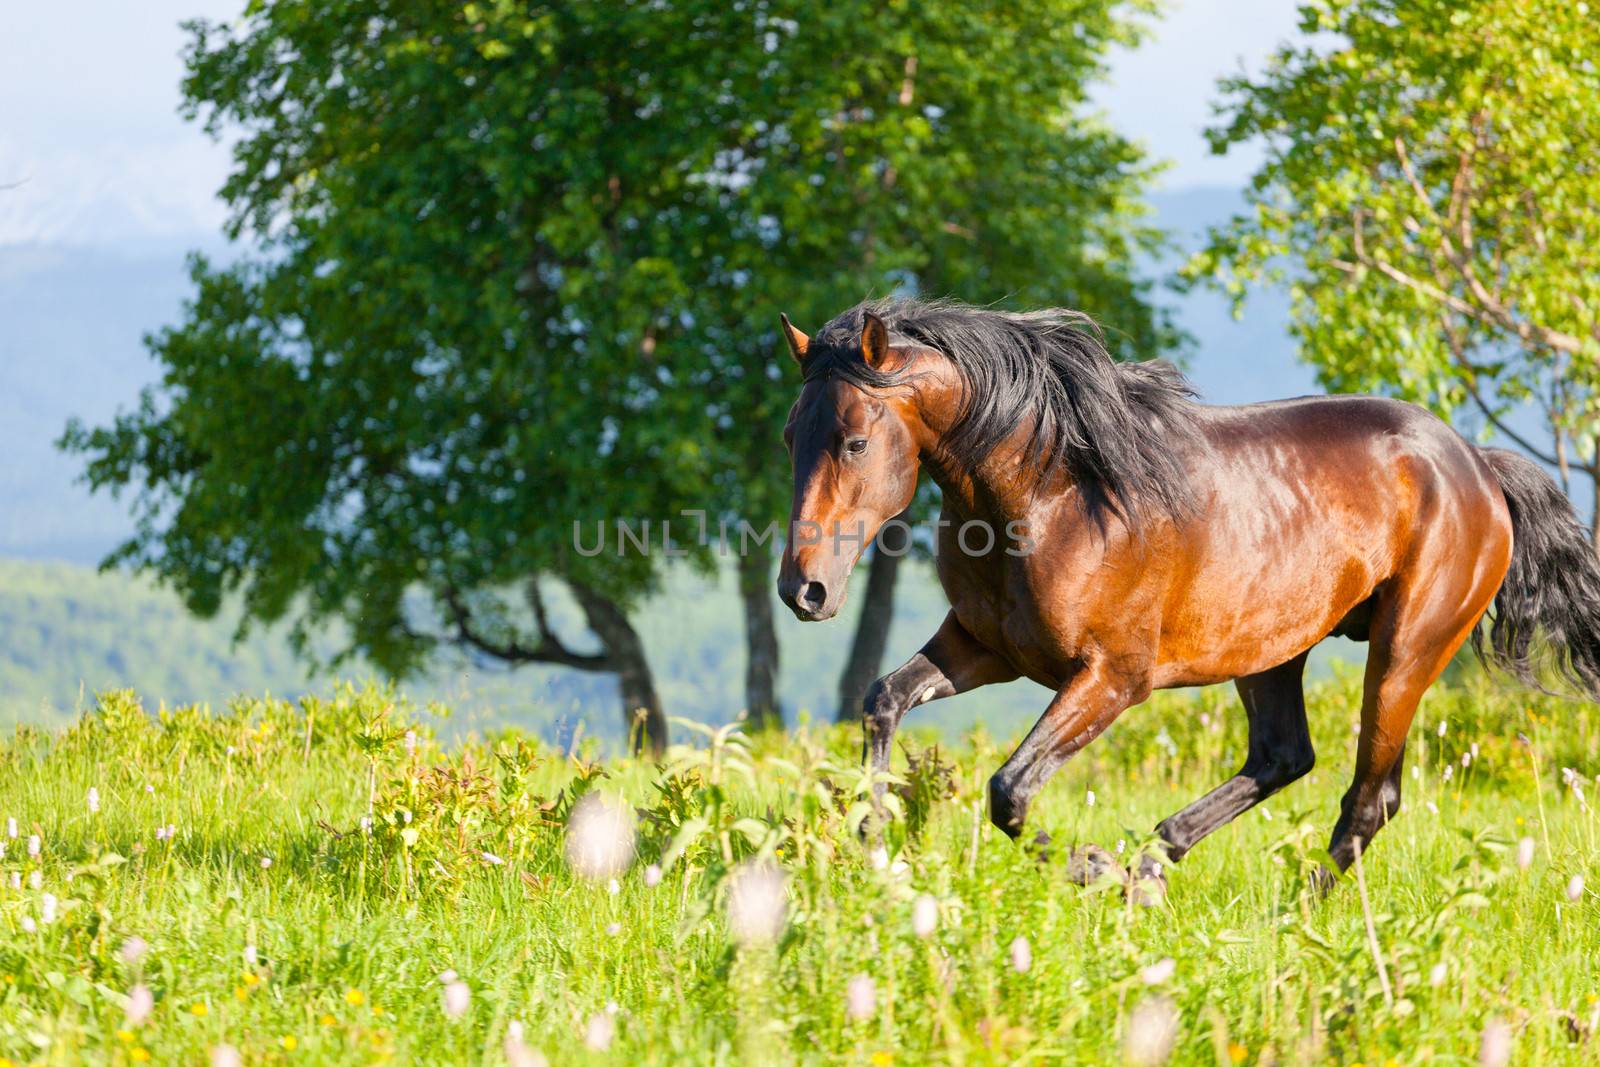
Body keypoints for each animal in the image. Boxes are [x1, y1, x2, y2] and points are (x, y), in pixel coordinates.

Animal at [774, 299, 1600, 883]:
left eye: (854, 439)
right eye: (790, 435)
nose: (802, 589)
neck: (1052, 492)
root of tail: (1477, 465)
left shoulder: (1112, 677)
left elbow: (1009, 787)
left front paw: (1092, 866)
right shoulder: (985, 647)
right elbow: (883, 698)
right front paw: (874, 841)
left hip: (1405, 652)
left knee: (1369, 797)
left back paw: (1284, 910)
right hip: (1272, 650)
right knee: (1283, 756)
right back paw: (1155, 860)